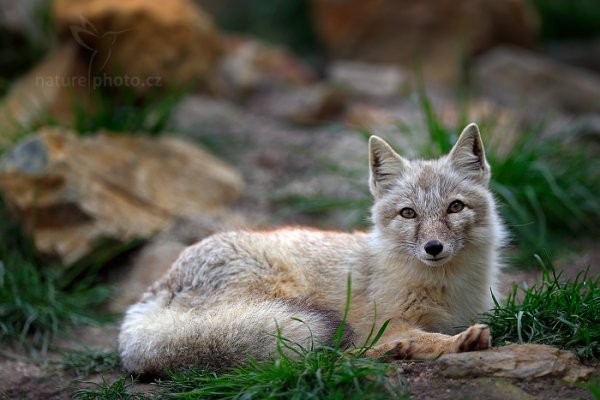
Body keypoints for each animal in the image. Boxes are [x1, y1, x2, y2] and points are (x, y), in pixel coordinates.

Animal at [120, 123, 506, 374]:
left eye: (454, 207)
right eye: (408, 213)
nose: (433, 247)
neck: (447, 288)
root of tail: (156, 288)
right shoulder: (389, 321)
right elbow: (426, 337)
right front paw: (456, 342)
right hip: (283, 299)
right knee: (323, 355)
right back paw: (394, 351)